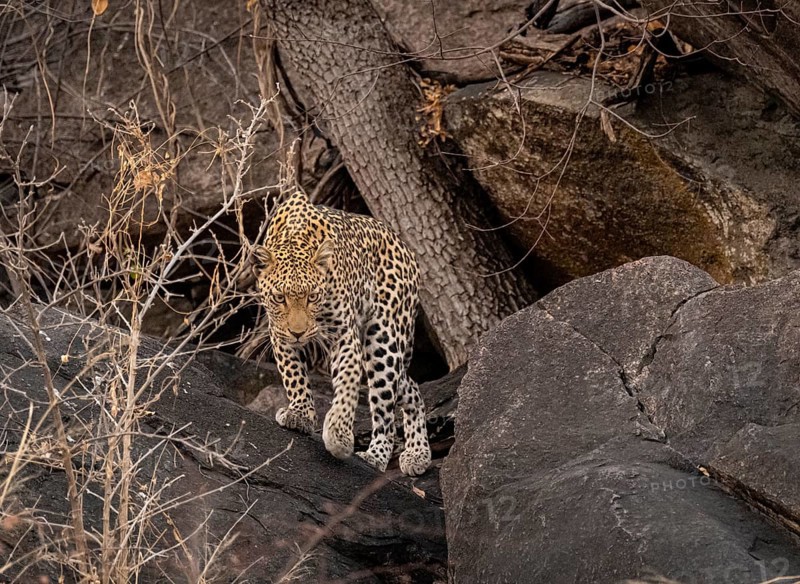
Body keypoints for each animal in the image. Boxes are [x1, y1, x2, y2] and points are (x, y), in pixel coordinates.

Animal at [253, 191, 432, 476]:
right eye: (279, 298)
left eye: (312, 296)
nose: (298, 332)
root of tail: (405, 248)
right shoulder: (279, 333)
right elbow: (294, 374)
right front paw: (300, 414)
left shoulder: (344, 336)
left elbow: (347, 386)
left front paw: (339, 436)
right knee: (411, 387)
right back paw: (417, 454)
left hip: (383, 341)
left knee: (386, 408)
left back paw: (379, 456)